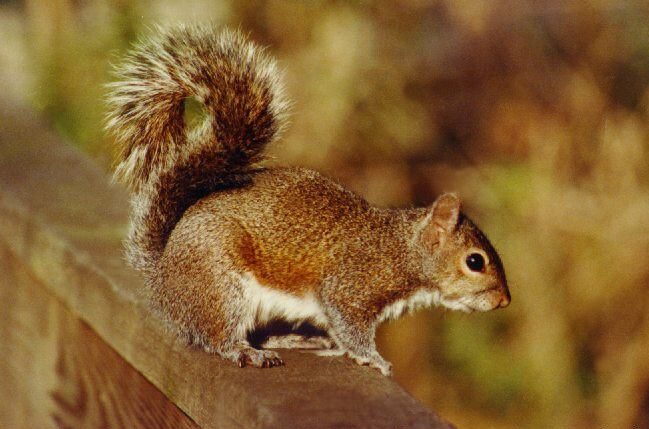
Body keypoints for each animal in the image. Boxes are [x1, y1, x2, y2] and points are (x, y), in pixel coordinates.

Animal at [106, 25, 508, 376]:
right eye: (475, 261)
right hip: (221, 285)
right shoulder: (352, 286)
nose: (503, 301)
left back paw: (292, 339)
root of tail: (162, 275)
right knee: (215, 334)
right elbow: (350, 327)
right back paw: (243, 350)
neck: (401, 250)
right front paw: (373, 359)